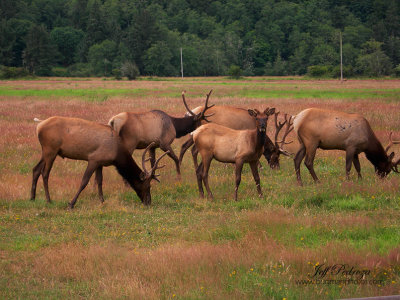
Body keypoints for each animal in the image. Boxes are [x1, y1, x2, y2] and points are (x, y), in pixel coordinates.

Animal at [30, 117, 166, 209]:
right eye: (147, 186)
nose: (148, 202)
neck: (117, 154)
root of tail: (38, 125)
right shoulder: (93, 159)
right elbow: (84, 181)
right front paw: (71, 204)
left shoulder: (100, 163)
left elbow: (100, 181)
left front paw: (102, 201)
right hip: (50, 149)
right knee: (45, 173)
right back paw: (48, 200)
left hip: (46, 151)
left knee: (35, 169)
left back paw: (32, 197)